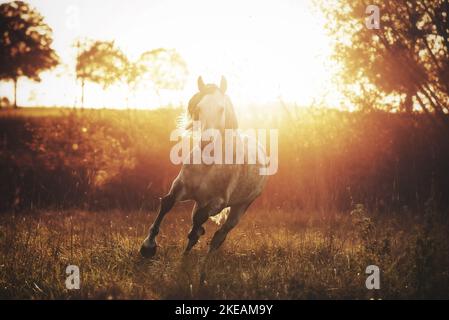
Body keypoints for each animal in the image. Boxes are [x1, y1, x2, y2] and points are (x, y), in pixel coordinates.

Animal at [139, 75, 266, 258]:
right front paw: (148, 247)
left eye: (221, 109)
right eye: (199, 108)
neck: (208, 165)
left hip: (240, 207)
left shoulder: (218, 201)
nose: (206, 142)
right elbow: (167, 204)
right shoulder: (181, 186)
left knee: (220, 234)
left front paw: (194, 235)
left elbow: (200, 218)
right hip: (200, 200)